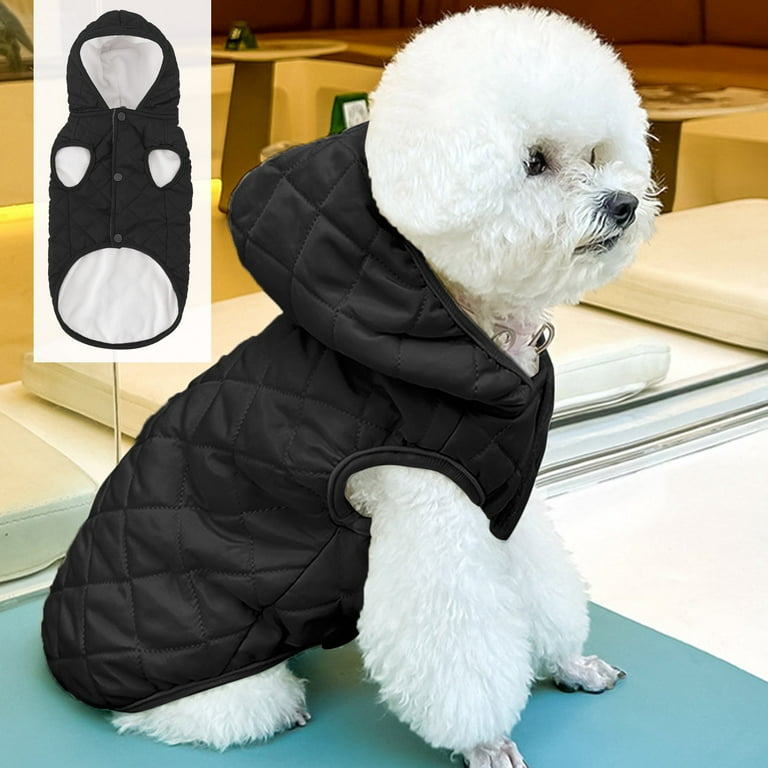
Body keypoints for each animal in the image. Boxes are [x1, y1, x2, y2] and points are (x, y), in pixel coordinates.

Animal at [53, 7, 657, 767]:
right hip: (198, 662)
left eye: (599, 154)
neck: (469, 330)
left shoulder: (497, 500)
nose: (624, 203)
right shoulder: (426, 504)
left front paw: (572, 665)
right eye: (535, 162)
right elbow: (460, 643)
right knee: (206, 711)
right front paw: (486, 740)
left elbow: (542, 585)